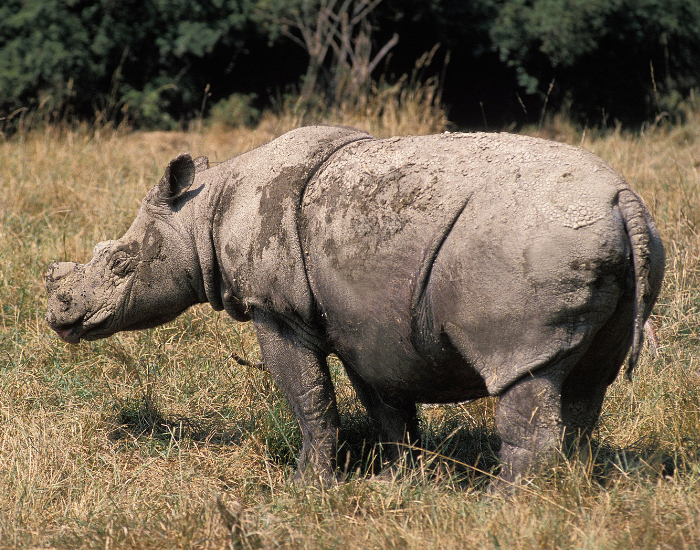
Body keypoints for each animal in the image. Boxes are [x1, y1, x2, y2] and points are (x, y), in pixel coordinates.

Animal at [45, 126, 664, 487]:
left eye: (121, 264)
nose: (60, 316)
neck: (203, 213)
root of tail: (624, 200)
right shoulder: (365, 321)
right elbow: (386, 404)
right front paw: (399, 483)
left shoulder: (278, 310)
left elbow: (308, 397)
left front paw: (307, 489)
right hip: (622, 247)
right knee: (587, 382)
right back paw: (569, 493)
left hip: (532, 245)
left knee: (522, 372)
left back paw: (505, 505)